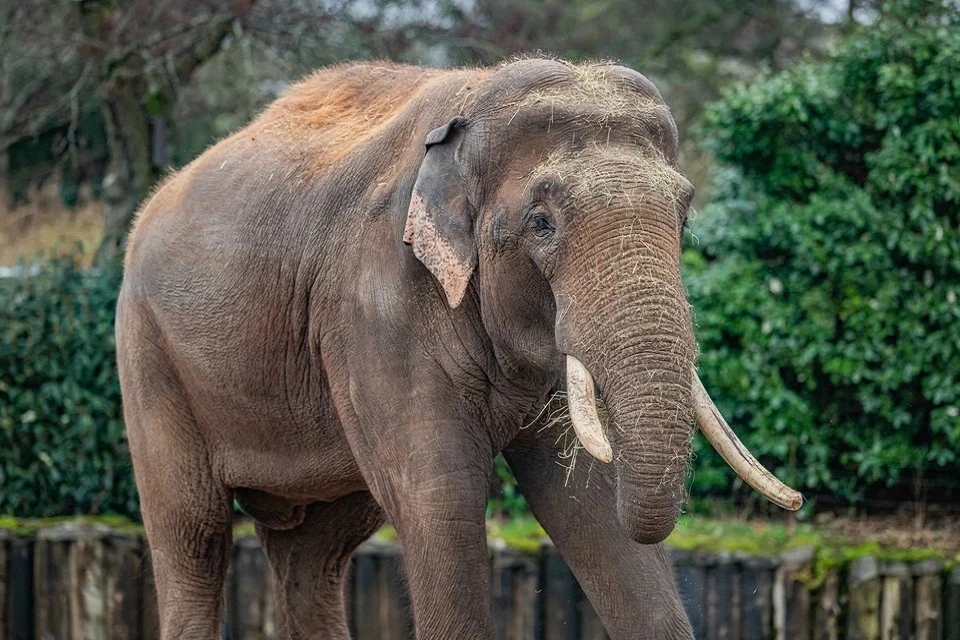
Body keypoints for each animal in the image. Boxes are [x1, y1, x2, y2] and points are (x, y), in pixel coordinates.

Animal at [116, 57, 800, 636]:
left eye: (683, 216)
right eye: (541, 223)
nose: (796, 501)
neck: (472, 101)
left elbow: (590, 503)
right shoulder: (374, 305)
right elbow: (440, 500)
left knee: (316, 552)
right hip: (148, 354)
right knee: (193, 533)